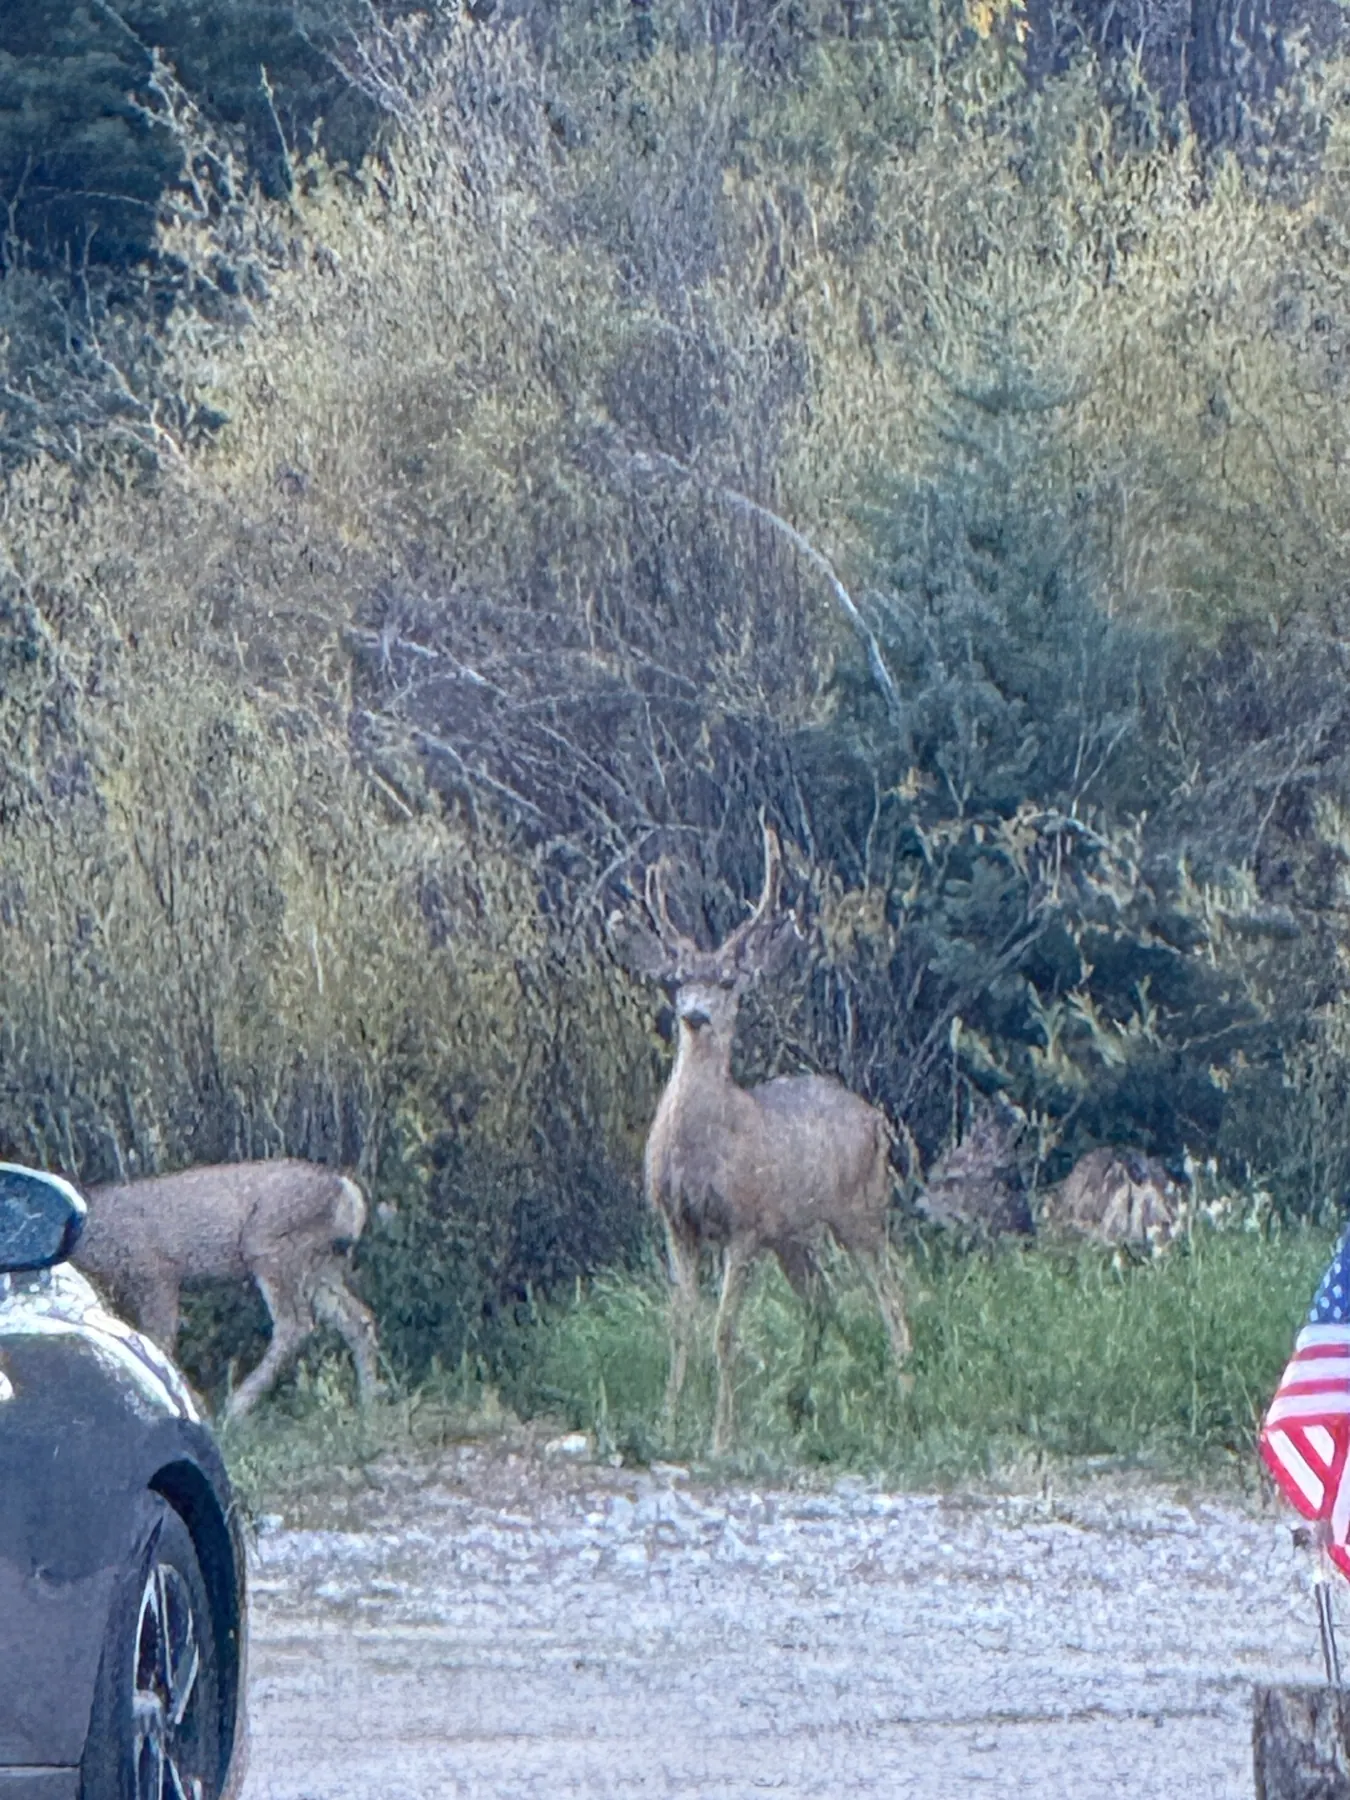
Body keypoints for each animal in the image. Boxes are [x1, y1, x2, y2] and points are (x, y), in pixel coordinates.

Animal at [71, 1158, 383, 1421]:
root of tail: (347, 1192)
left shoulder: (157, 1274)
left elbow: (158, 1341)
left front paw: (191, 1408)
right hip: (322, 1266)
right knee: (358, 1319)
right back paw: (369, 1403)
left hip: (270, 1247)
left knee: (295, 1325)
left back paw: (236, 1407)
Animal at [613, 820, 910, 1453]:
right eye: (677, 980)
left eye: (727, 981)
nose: (695, 1015)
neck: (700, 1152)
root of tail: (877, 1119)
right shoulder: (676, 1224)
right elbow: (680, 1325)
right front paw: (668, 1422)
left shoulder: (744, 1225)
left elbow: (725, 1331)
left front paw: (722, 1437)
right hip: (793, 1236)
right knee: (822, 1301)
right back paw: (800, 1403)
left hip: (861, 1212)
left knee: (893, 1299)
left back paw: (902, 1402)